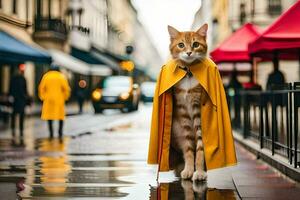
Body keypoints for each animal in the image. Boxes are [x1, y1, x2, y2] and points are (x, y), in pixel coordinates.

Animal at [169, 23, 209, 181]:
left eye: (196, 44)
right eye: (181, 45)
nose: (189, 53)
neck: (189, 72)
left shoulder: (198, 108)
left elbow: (200, 147)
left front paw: (199, 172)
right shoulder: (182, 110)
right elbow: (188, 148)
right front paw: (189, 170)